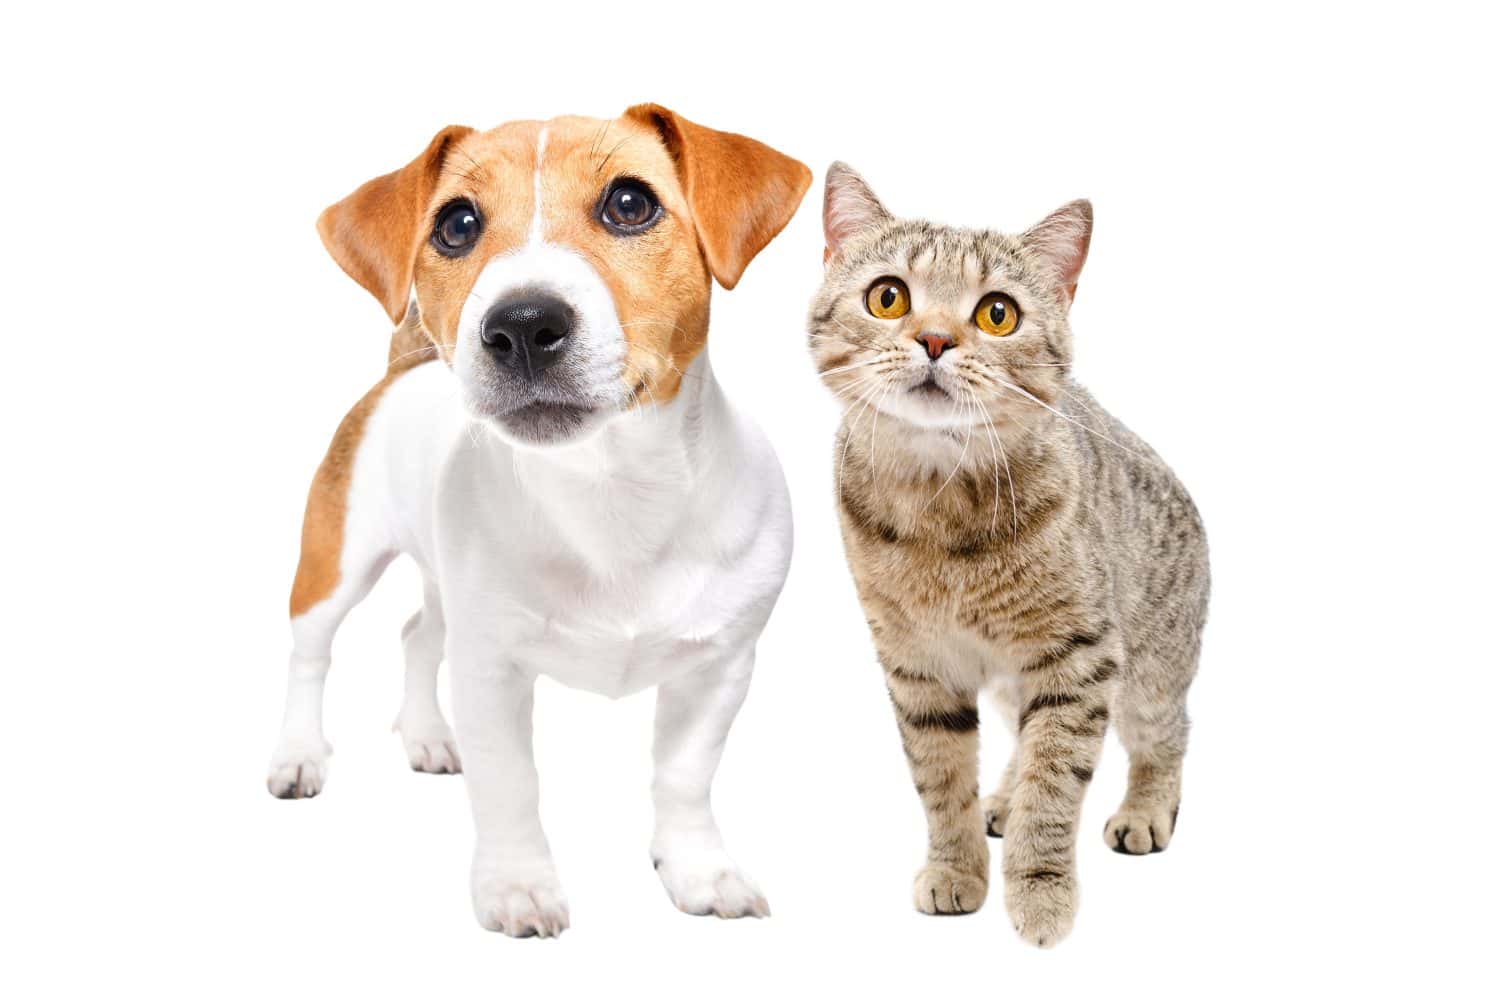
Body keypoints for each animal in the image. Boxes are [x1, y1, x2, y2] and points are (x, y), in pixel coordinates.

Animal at [268, 109, 810, 941]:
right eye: (456, 224)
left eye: (630, 203)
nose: (522, 324)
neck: (609, 495)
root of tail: (400, 369)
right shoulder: (491, 670)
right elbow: (510, 785)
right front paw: (518, 886)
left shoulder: (721, 666)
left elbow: (684, 777)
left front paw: (698, 870)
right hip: (337, 561)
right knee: (311, 654)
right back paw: (298, 754)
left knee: (416, 636)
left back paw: (427, 736)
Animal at [810, 162, 1206, 947]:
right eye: (887, 296)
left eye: (998, 313)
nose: (935, 339)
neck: (940, 509)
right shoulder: (918, 665)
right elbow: (940, 779)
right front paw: (957, 867)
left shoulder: (1081, 654)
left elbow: (1056, 785)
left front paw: (1040, 891)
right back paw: (1003, 799)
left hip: (1148, 672)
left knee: (1166, 736)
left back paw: (1145, 808)